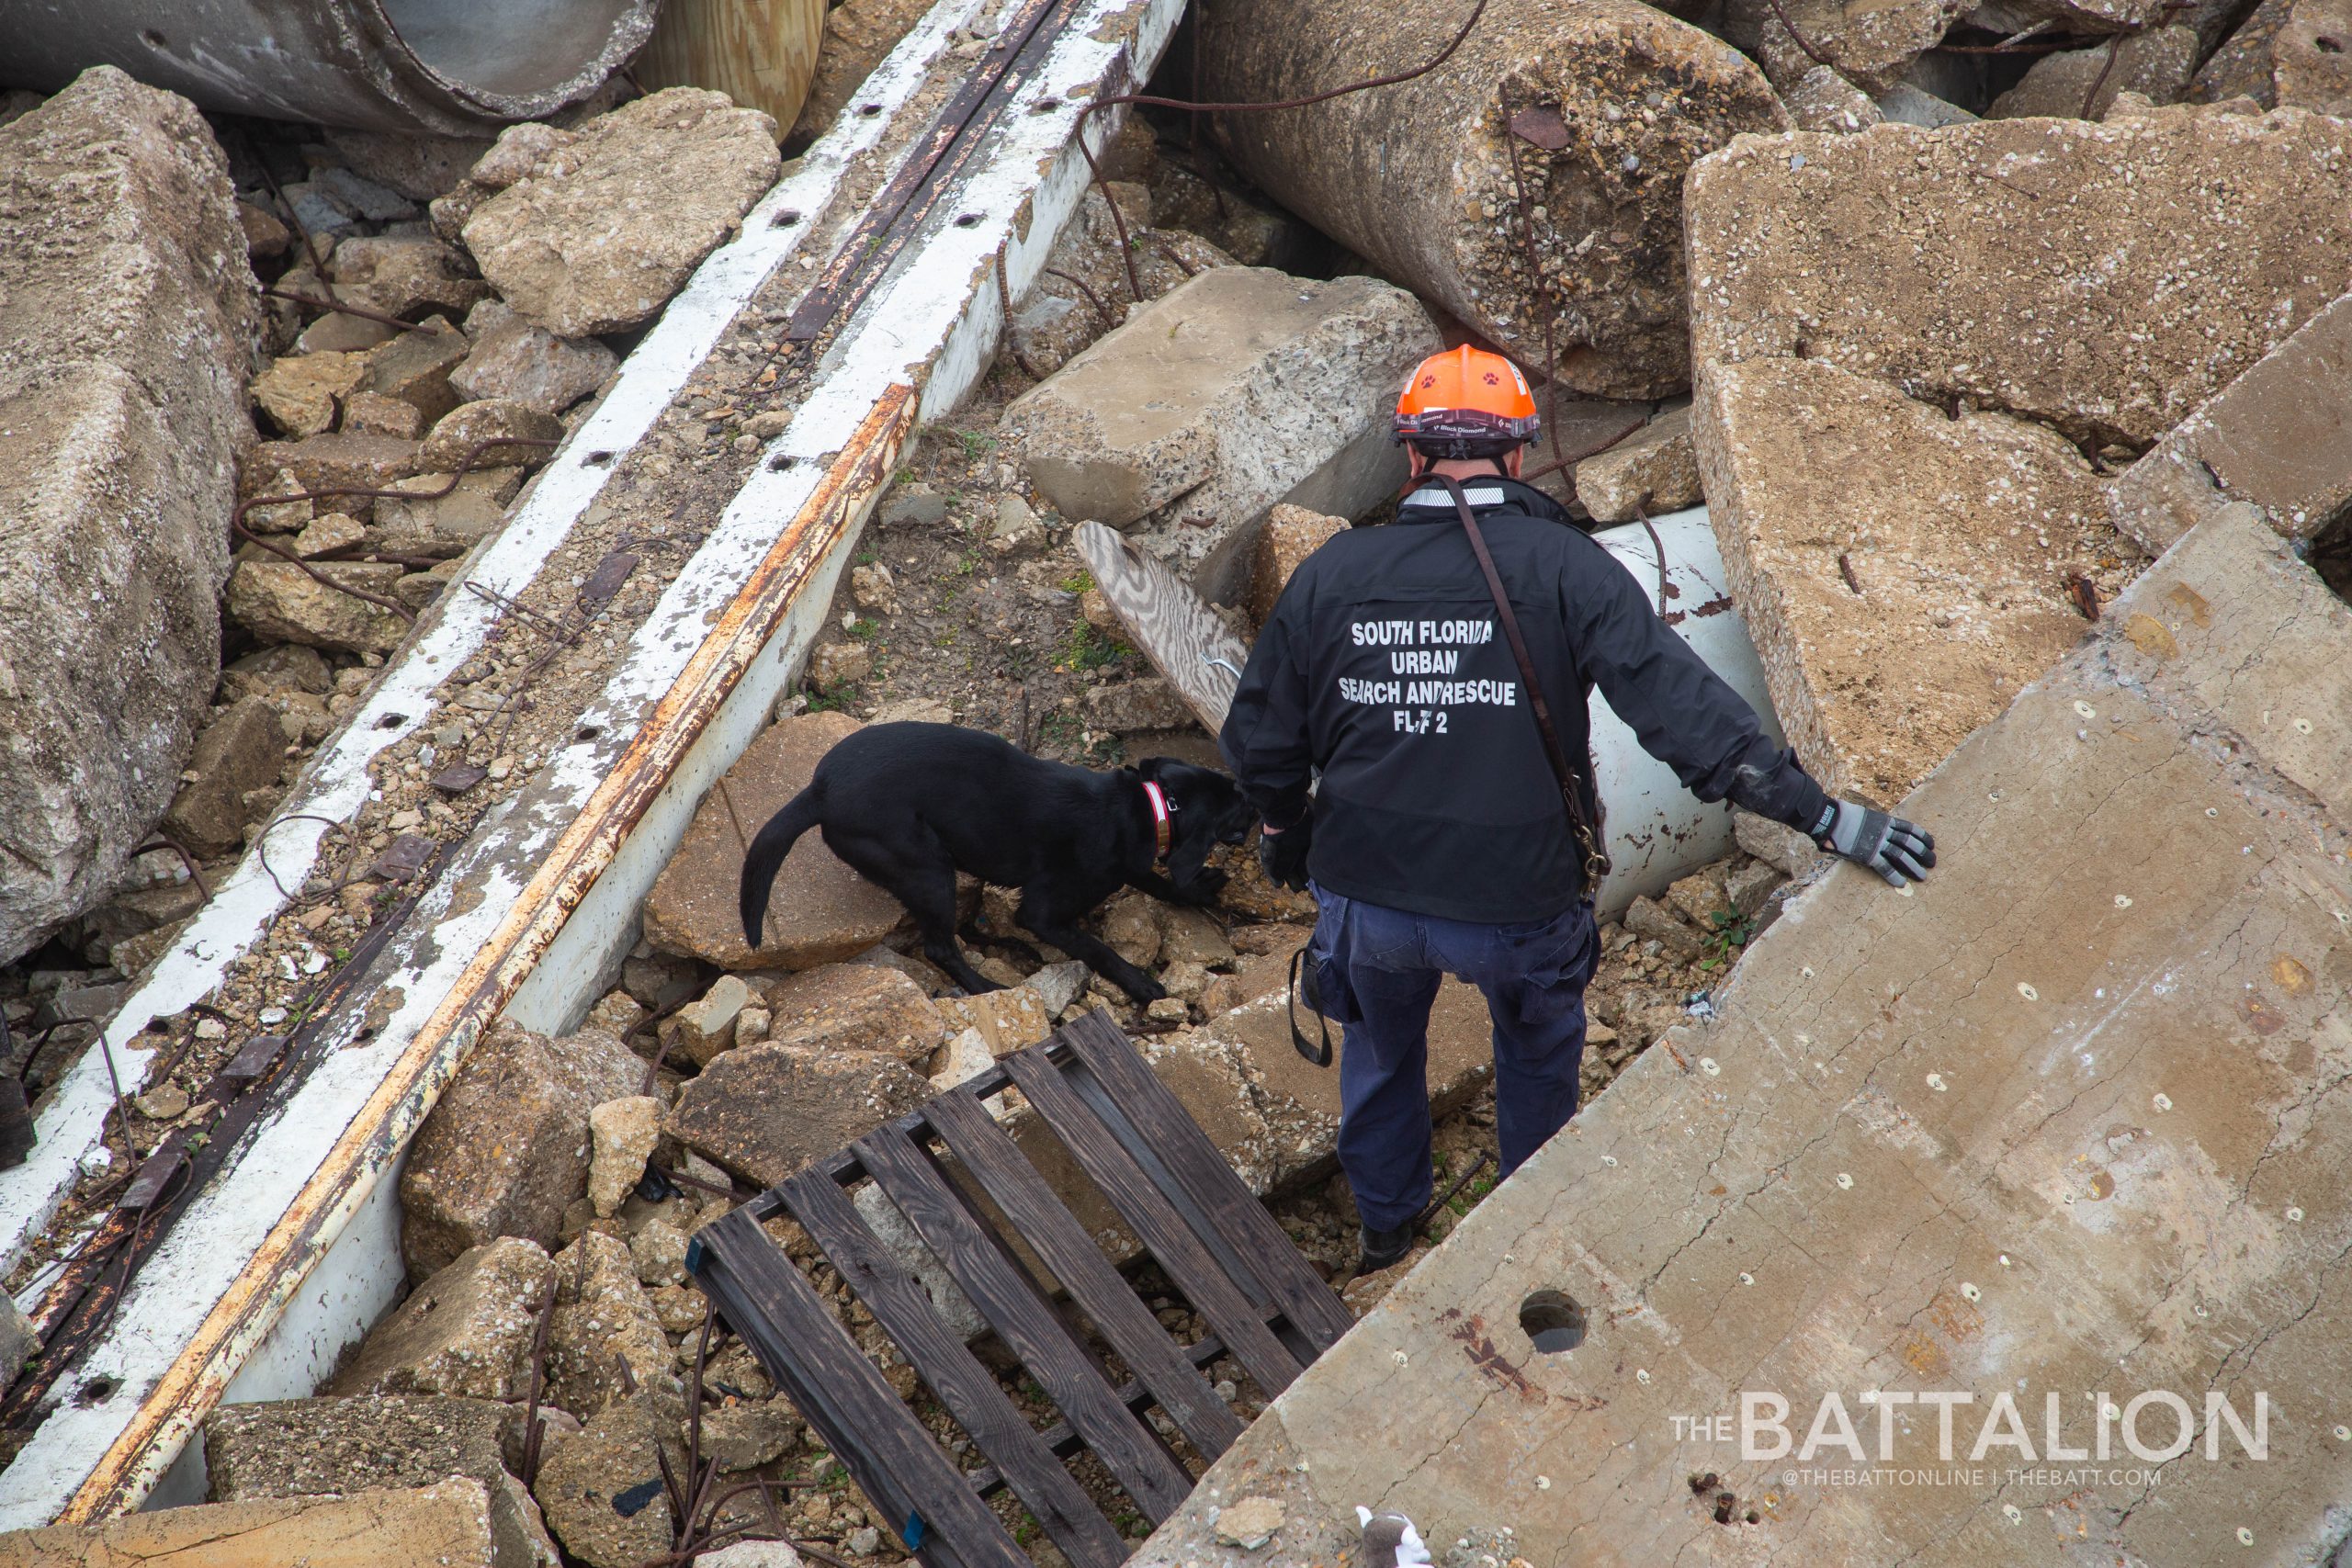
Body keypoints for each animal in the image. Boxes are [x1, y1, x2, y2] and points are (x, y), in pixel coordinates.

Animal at [738, 728, 1261, 1006]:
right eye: (1235, 803)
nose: (1257, 803)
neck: (1149, 806)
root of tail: (819, 791)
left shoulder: (1131, 864)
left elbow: (1158, 881)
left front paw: (1197, 891)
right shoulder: (1042, 912)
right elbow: (1099, 949)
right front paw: (1141, 984)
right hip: (928, 869)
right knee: (940, 948)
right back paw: (987, 986)